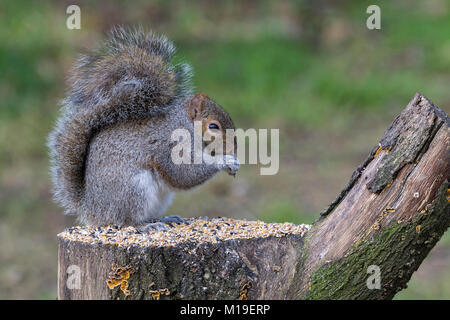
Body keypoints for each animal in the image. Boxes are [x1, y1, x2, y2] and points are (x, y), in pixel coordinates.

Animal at [46, 26, 239, 230]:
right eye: (213, 126)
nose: (234, 147)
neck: (183, 125)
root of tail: (92, 209)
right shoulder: (168, 145)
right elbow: (183, 173)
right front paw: (224, 161)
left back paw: (164, 219)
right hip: (133, 189)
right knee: (125, 221)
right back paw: (145, 226)